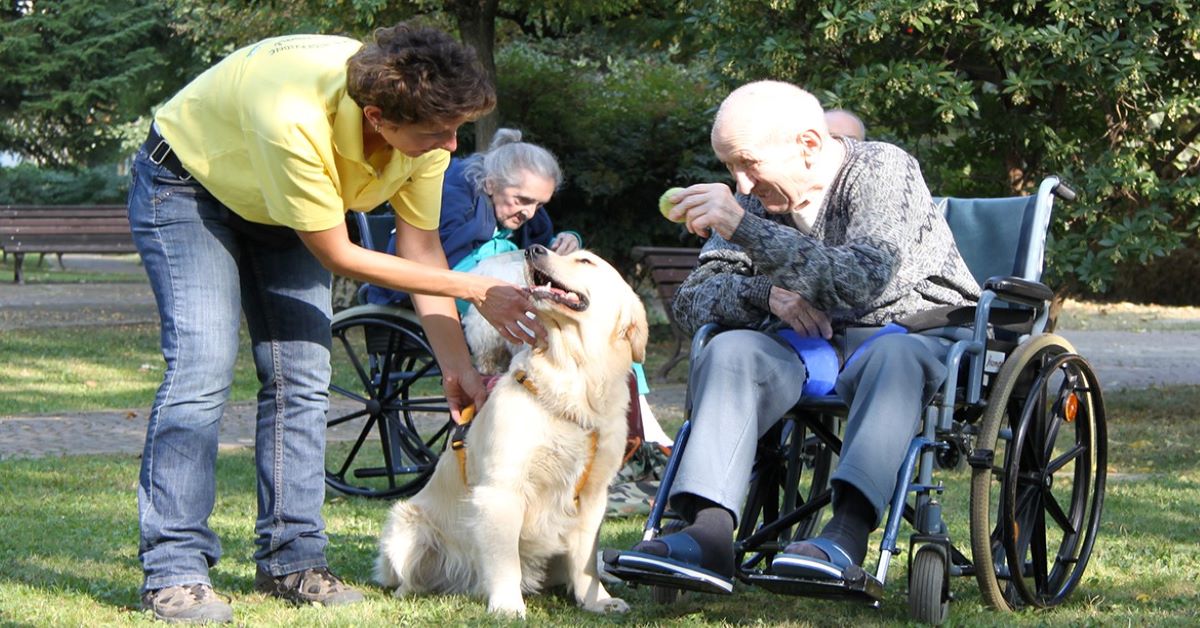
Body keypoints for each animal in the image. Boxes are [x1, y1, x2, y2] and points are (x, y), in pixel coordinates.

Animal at [379, 243, 652, 614]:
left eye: (585, 260)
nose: (533, 248)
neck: (573, 379)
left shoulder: (594, 494)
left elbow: (587, 561)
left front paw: (598, 600)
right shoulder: (501, 489)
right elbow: (504, 558)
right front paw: (508, 605)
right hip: (406, 524)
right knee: (405, 577)